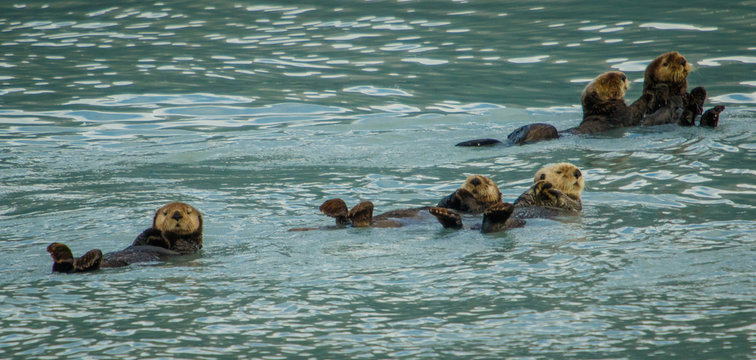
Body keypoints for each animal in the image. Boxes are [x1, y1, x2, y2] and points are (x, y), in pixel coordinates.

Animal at [46, 202, 202, 272]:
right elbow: (140, 239)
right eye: (165, 213)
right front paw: (154, 231)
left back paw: (87, 258)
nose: (177, 215)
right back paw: (58, 251)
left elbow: (180, 244)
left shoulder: (190, 246)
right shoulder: (140, 241)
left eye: (188, 212)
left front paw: (165, 235)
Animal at [428, 162, 580, 232]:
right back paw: (443, 214)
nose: (475, 180)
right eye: (467, 179)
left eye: (488, 182)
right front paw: (457, 193)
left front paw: (547, 186)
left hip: (515, 223)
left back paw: (496, 214)